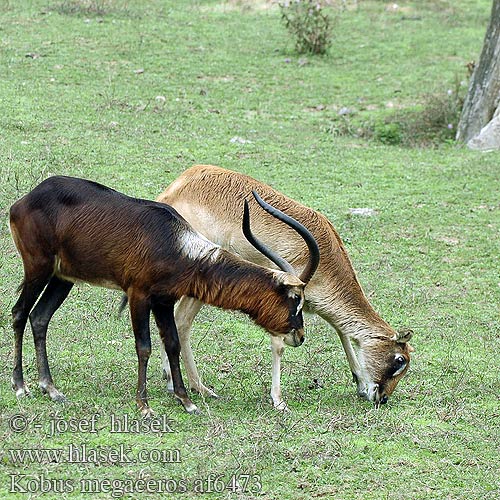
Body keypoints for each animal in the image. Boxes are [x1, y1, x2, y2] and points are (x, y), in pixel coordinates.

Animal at [157, 166, 414, 408]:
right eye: (400, 360)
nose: (382, 397)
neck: (327, 252)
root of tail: (176, 189)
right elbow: (279, 344)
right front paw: (278, 400)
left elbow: (340, 330)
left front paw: (359, 383)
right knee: (182, 321)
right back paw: (197, 387)